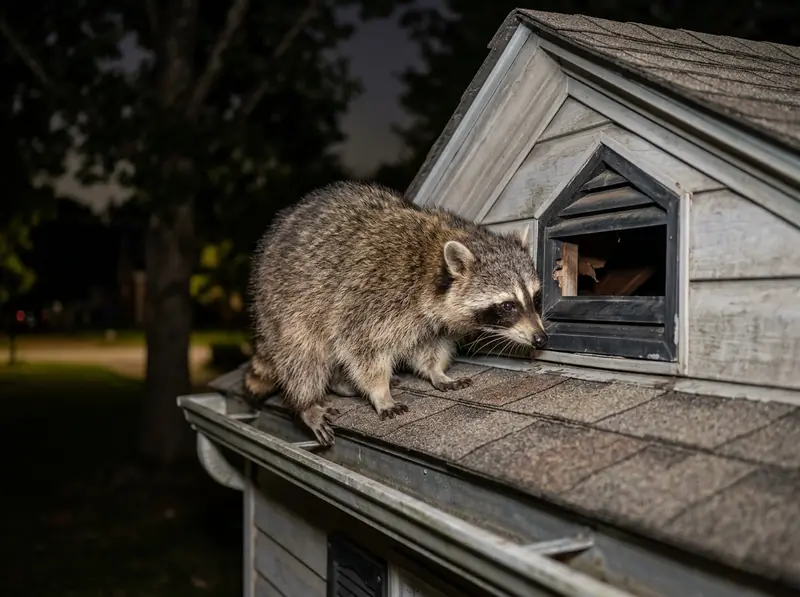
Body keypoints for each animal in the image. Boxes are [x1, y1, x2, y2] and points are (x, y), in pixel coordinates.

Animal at [246, 181, 547, 445]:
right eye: (508, 305)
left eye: (535, 298)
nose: (540, 339)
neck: (432, 260)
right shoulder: (373, 292)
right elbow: (360, 346)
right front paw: (380, 393)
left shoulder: (430, 321)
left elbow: (429, 345)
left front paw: (437, 372)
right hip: (286, 303)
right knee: (302, 353)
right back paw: (307, 401)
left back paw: (340, 383)